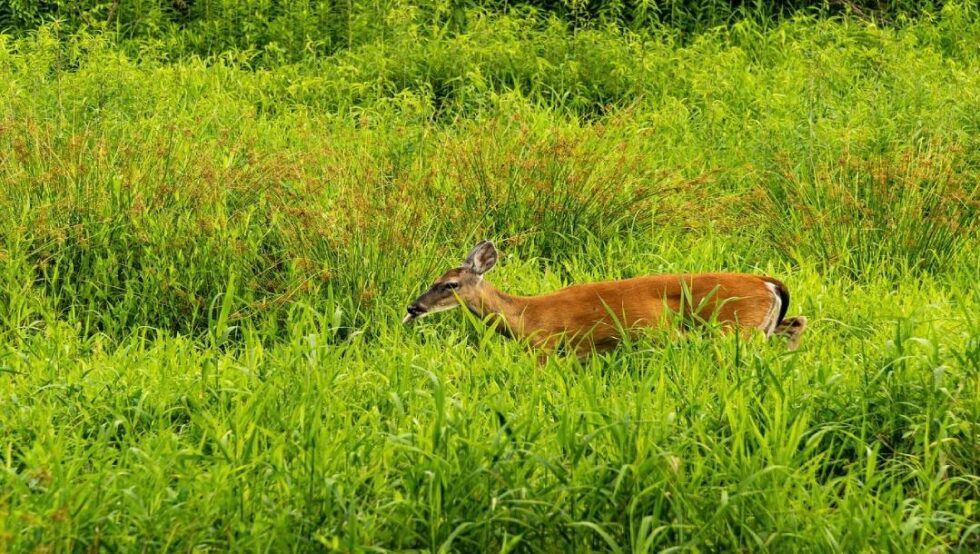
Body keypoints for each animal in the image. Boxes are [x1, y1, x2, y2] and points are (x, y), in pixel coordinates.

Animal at [402, 242, 808, 358]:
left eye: (450, 284)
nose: (412, 308)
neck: (523, 315)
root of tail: (768, 282)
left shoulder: (545, 348)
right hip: (762, 325)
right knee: (798, 322)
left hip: (737, 328)